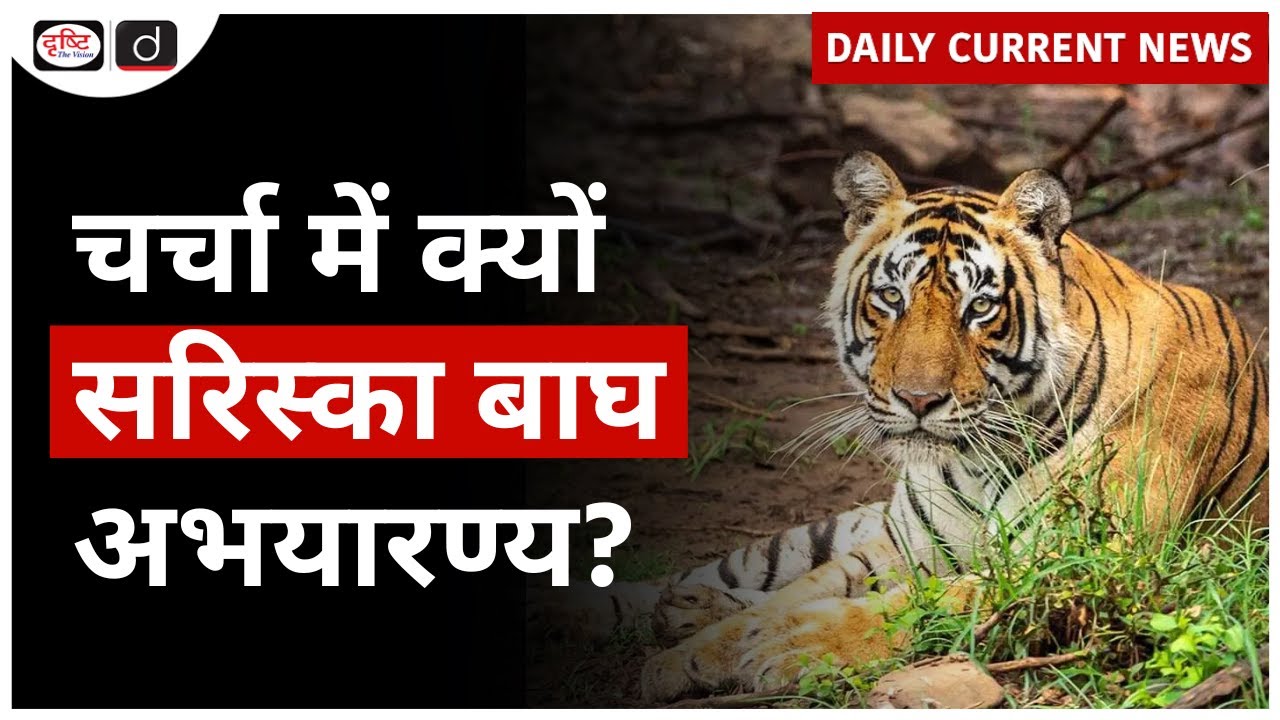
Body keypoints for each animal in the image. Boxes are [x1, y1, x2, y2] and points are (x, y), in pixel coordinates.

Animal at [546, 151, 1269, 704]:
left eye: (980, 307)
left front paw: (788, 645)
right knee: (730, 572)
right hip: (842, 528)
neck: (979, 458)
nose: (918, 400)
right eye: (891, 297)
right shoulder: (908, 544)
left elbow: (916, 605)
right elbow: (801, 593)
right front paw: (692, 656)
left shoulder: (1071, 564)